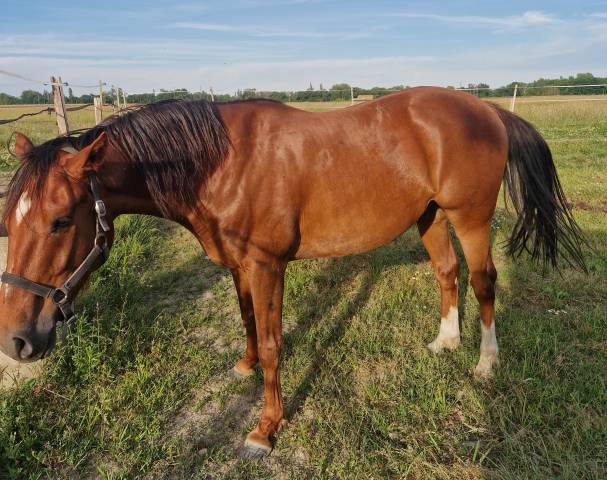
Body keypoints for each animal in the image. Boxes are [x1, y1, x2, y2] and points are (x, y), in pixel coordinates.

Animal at [1, 87, 588, 458]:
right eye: (9, 221)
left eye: (60, 221)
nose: (17, 342)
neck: (219, 161)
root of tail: (485, 108)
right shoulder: (240, 265)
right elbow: (248, 325)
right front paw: (244, 367)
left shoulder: (268, 266)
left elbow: (273, 343)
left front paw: (265, 429)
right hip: (430, 216)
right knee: (447, 273)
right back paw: (445, 342)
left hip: (471, 217)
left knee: (484, 281)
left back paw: (486, 363)